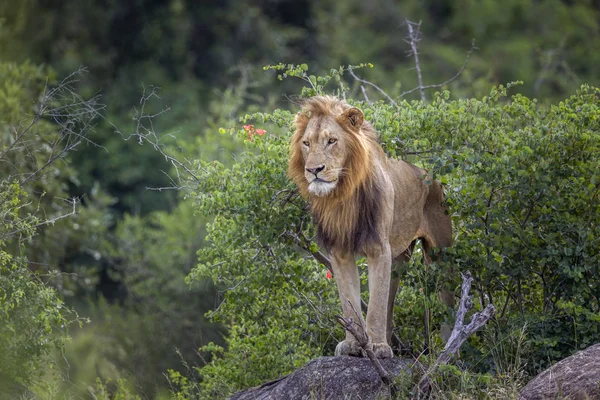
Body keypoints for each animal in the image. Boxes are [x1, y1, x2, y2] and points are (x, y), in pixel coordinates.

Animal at [288, 95, 452, 358]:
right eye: (306, 143)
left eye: (332, 141)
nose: (313, 170)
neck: (344, 196)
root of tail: (431, 176)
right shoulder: (340, 253)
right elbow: (350, 303)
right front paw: (353, 344)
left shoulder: (378, 249)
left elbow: (375, 304)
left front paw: (377, 347)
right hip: (399, 259)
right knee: (391, 303)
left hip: (441, 254)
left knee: (449, 305)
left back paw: (449, 352)